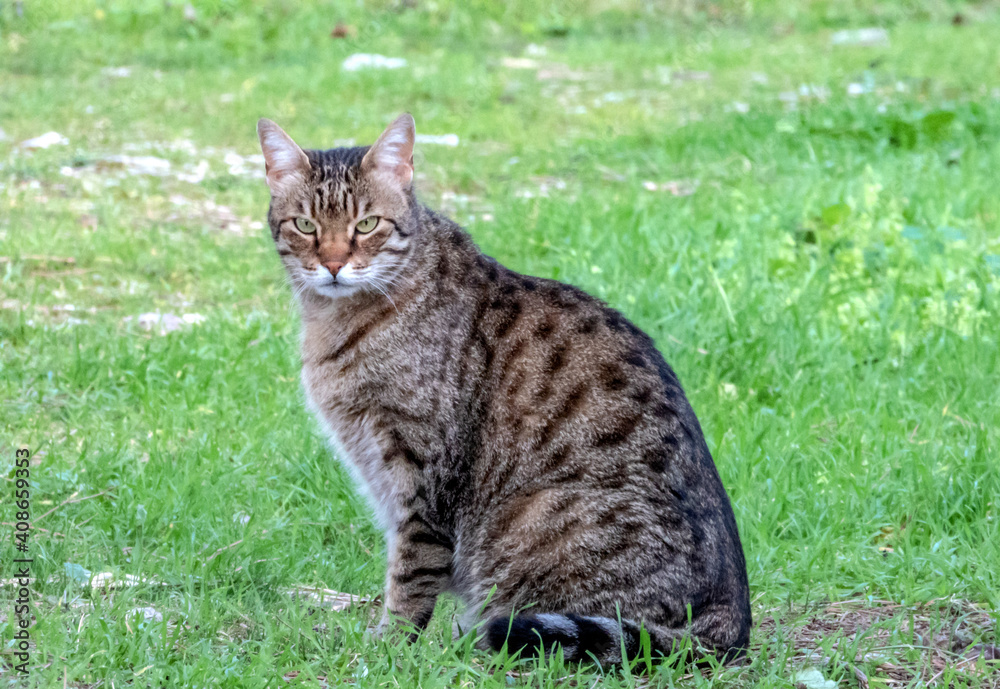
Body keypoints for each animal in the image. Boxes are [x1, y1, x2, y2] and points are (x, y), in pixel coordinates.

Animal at [256, 115, 752, 664]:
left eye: (366, 225)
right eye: (306, 226)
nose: (333, 265)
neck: (334, 319)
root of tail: (733, 623)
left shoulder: (424, 473)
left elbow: (410, 574)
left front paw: (389, 648)